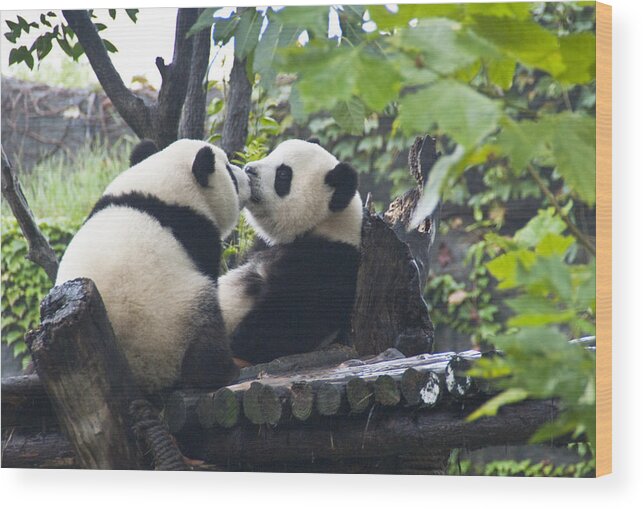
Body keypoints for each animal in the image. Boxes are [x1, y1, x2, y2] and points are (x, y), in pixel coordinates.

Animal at [54, 137, 249, 390]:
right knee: (207, 332)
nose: (246, 175)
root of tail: (142, 377)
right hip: (178, 322)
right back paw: (224, 372)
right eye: (229, 172)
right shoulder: (197, 234)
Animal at [219, 138, 362, 366]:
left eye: (283, 175)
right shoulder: (262, 245)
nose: (249, 169)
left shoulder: (328, 263)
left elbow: (290, 321)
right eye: (271, 154)